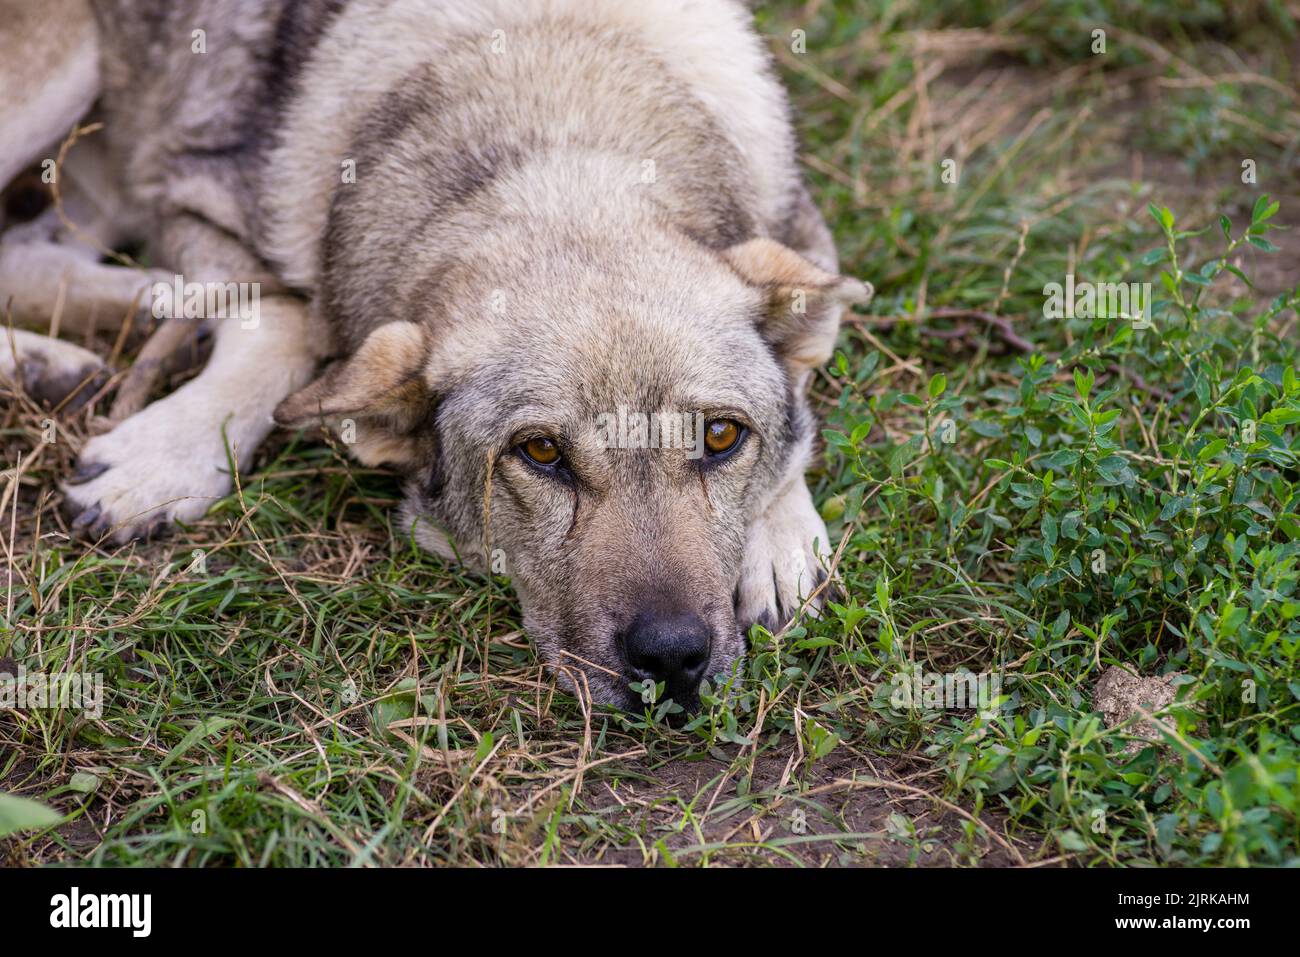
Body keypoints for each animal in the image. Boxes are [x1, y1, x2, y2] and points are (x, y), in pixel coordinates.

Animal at [5, 0, 873, 712]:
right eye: (540, 453)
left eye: (722, 437)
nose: (673, 660)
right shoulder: (191, 195)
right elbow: (283, 319)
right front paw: (165, 454)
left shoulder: (803, 237)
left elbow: (798, 404)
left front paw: (780, 540)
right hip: (61, 68)